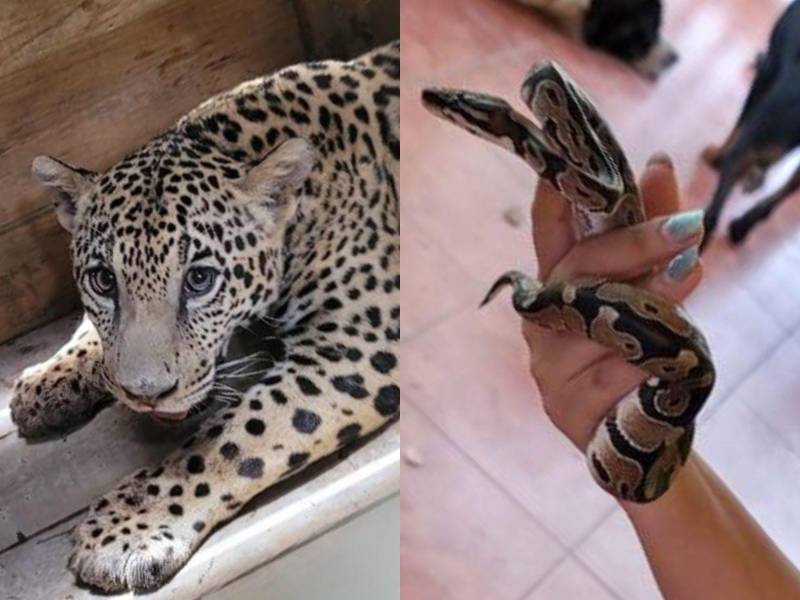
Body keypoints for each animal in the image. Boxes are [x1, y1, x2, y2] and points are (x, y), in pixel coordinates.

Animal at [9, 40, 399, 593]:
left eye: (199, 280)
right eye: (104, 281)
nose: (146, 395)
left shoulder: (357, 340)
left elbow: (232, 439)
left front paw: (123, 533)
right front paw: (47, 379)